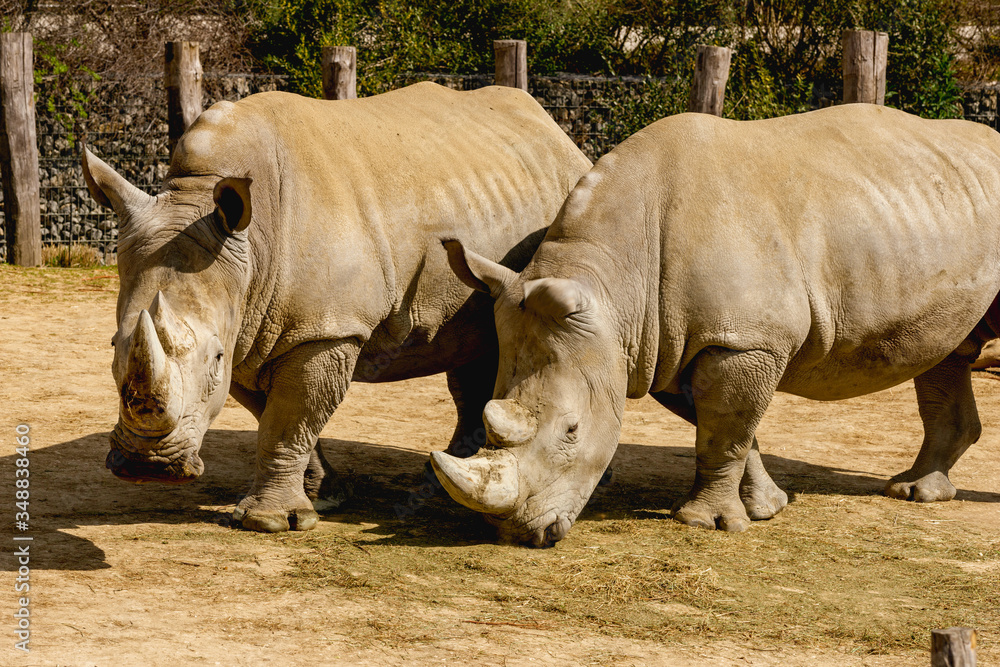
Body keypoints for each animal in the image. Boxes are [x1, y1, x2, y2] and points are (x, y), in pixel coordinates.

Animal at [82, 82, 591, 532]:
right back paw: (444, 475)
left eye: (215, 359)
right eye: (112, 347)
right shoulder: (251, 326)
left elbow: (290, 418)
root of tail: (556, 133)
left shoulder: (323, 329)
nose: (147, 466)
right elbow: (274, 414)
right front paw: (323, 497)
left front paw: (271, 522)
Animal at [433, 104, 1000, 547]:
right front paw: (767, 507)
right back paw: (915, 491)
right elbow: (724, 428)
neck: (614, 286)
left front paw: (705, 523)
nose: (523, 534)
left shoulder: (743, 341)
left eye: (572, 430)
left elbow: (726, 429)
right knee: (949, 350)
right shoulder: (663, 343)